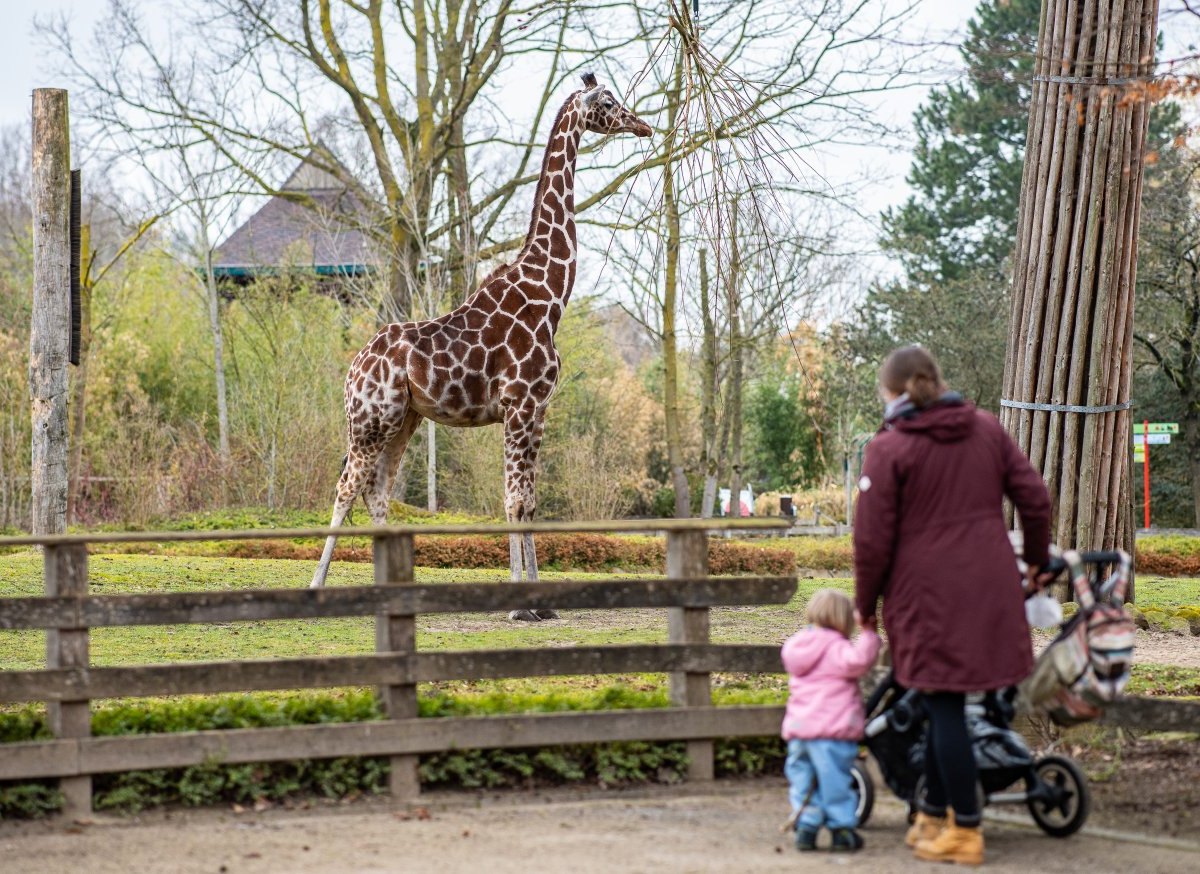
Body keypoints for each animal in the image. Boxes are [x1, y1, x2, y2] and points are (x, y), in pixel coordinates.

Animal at [304, 75, 652, 619]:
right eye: (610, 103)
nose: (643, 125)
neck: (551, 292)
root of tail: (353, 368)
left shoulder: (538, 409)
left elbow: (529, 501)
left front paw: (542, 604)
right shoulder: (520, 404)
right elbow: (513, 500)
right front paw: (517, 603)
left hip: (404, 420)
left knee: (377, 491)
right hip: (369, 420)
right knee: (346, 488)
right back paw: (316, 585)